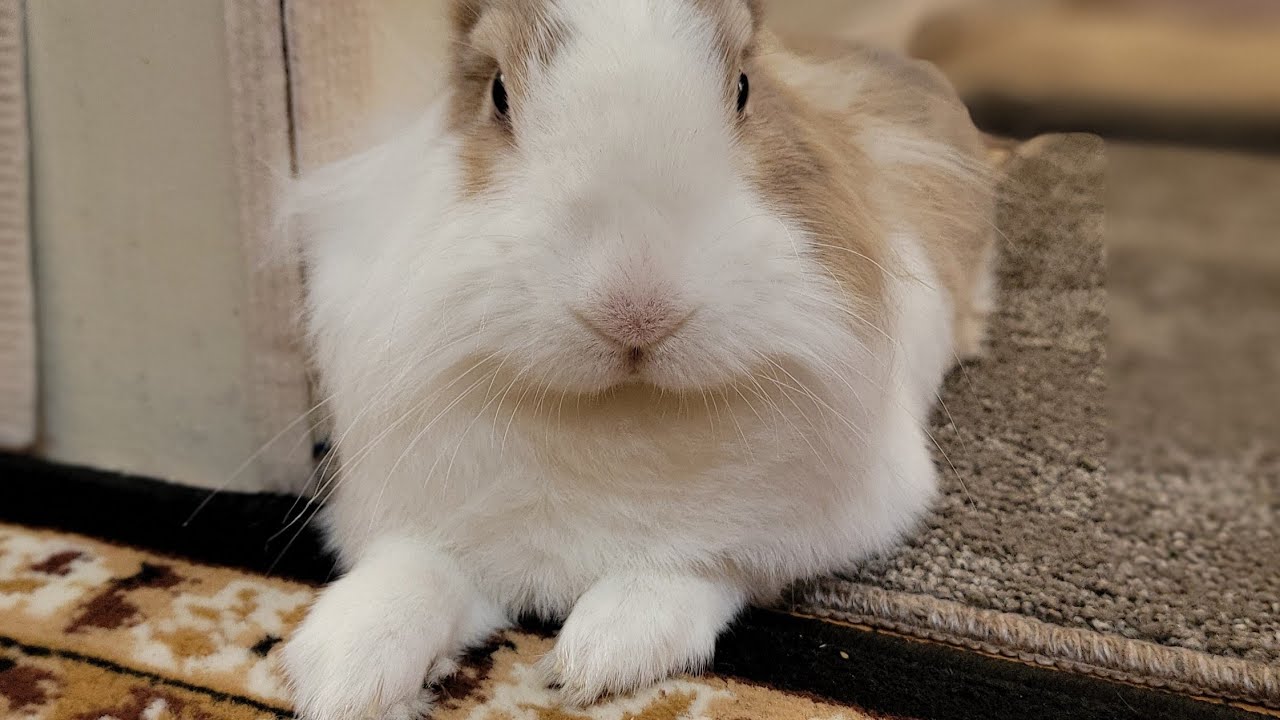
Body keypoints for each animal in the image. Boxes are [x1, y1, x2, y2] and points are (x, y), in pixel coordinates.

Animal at [279, 1, 997, 718]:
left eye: (744, 87)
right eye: (498, 94)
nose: (635, 308)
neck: (619, 410)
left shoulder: (776, 532)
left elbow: (695, 568)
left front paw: (596, 657)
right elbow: (412, 571)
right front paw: (340, 674)